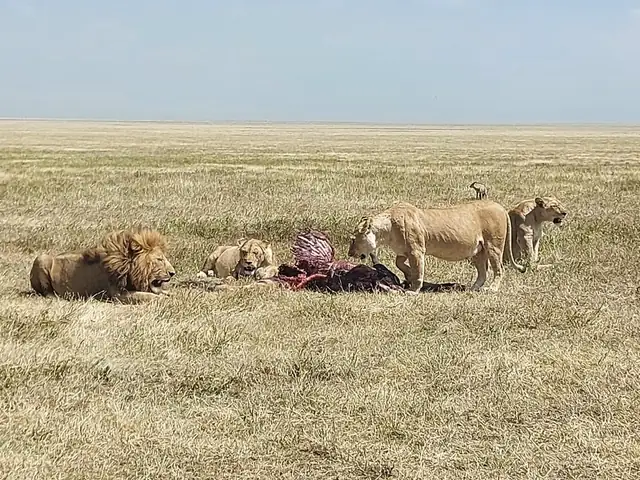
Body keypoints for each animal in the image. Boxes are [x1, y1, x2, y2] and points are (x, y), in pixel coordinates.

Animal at [29, 226, 176, 304]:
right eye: (159, 259)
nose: (173, 273)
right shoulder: (118, 295)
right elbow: (146, 296)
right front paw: (163, 298)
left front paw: (170, 294)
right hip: (41, 258)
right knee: (46, 292)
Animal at [348, 200, 525, 293]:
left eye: (353, 240)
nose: (349, 254)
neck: (386, 231)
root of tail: (499, 206)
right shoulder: (404, 251)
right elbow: (399, 263)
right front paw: (408, 274)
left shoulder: (417, 250)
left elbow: (418, 270)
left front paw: (413, 289)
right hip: (477, 251)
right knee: (483, 272)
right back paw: (472, 288)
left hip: (493, 245)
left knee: (498, 269)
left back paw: (492, 289)